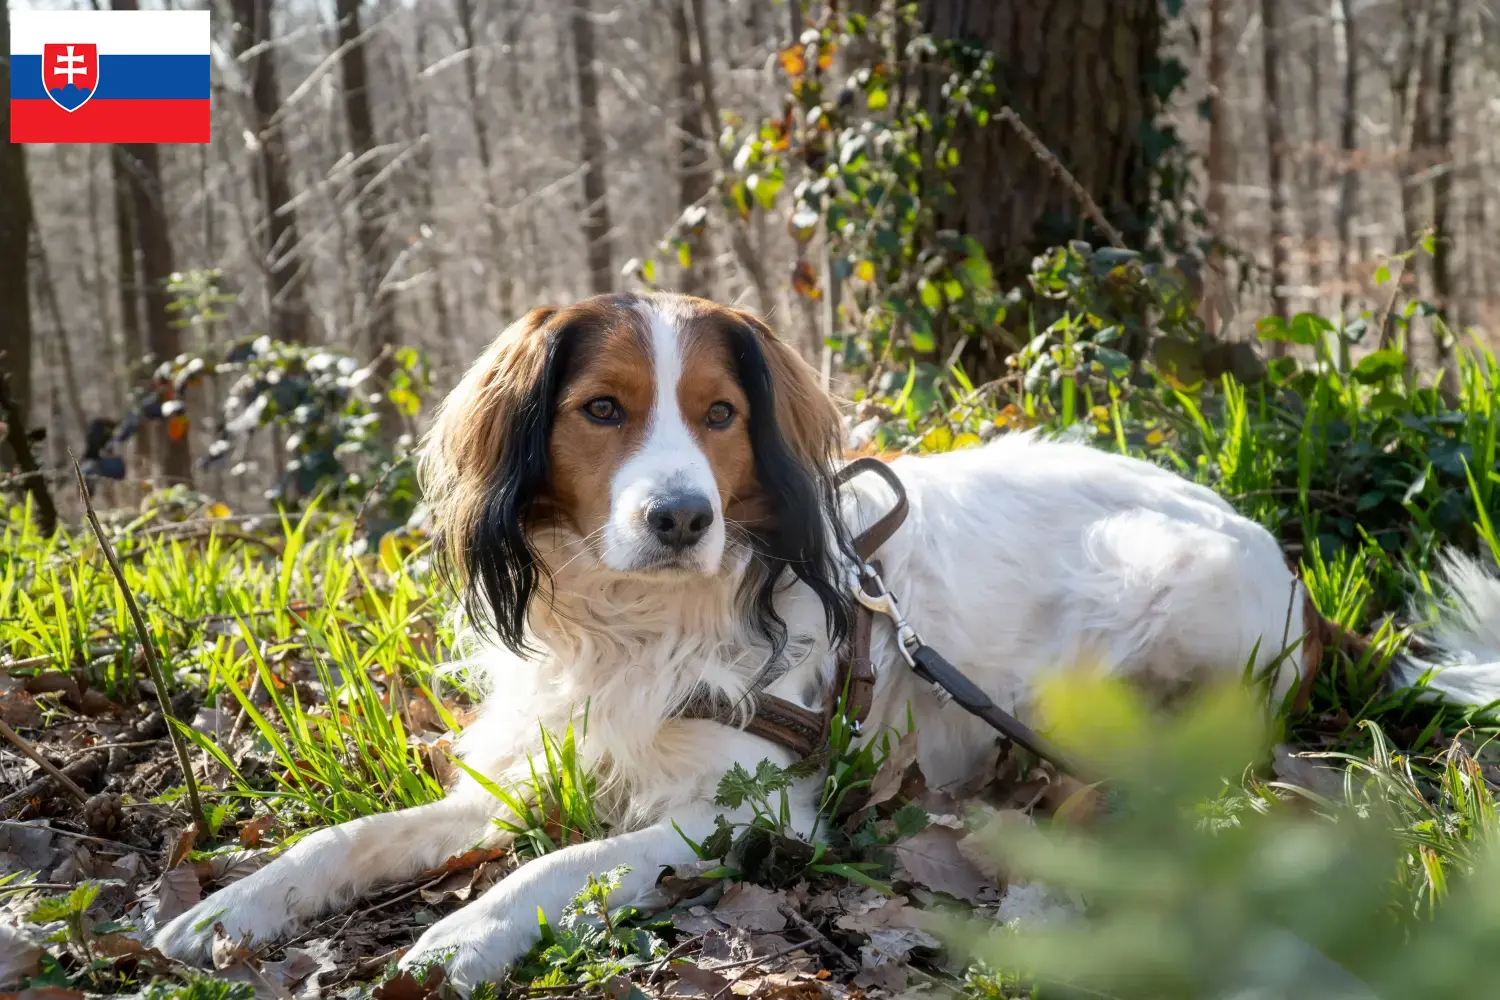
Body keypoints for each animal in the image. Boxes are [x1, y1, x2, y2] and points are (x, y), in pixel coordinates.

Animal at [155, 289, 1500, 983]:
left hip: (1129, 613)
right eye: (602, 409)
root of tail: (1300, 582)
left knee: (1115, 793)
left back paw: (1038, 908)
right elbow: (351, 835)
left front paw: (466, 932)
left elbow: (563, 863)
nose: (681, 516)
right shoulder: (539, 762)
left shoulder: (756, 805)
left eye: (719, 415)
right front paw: (237, 910)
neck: (644, 622)